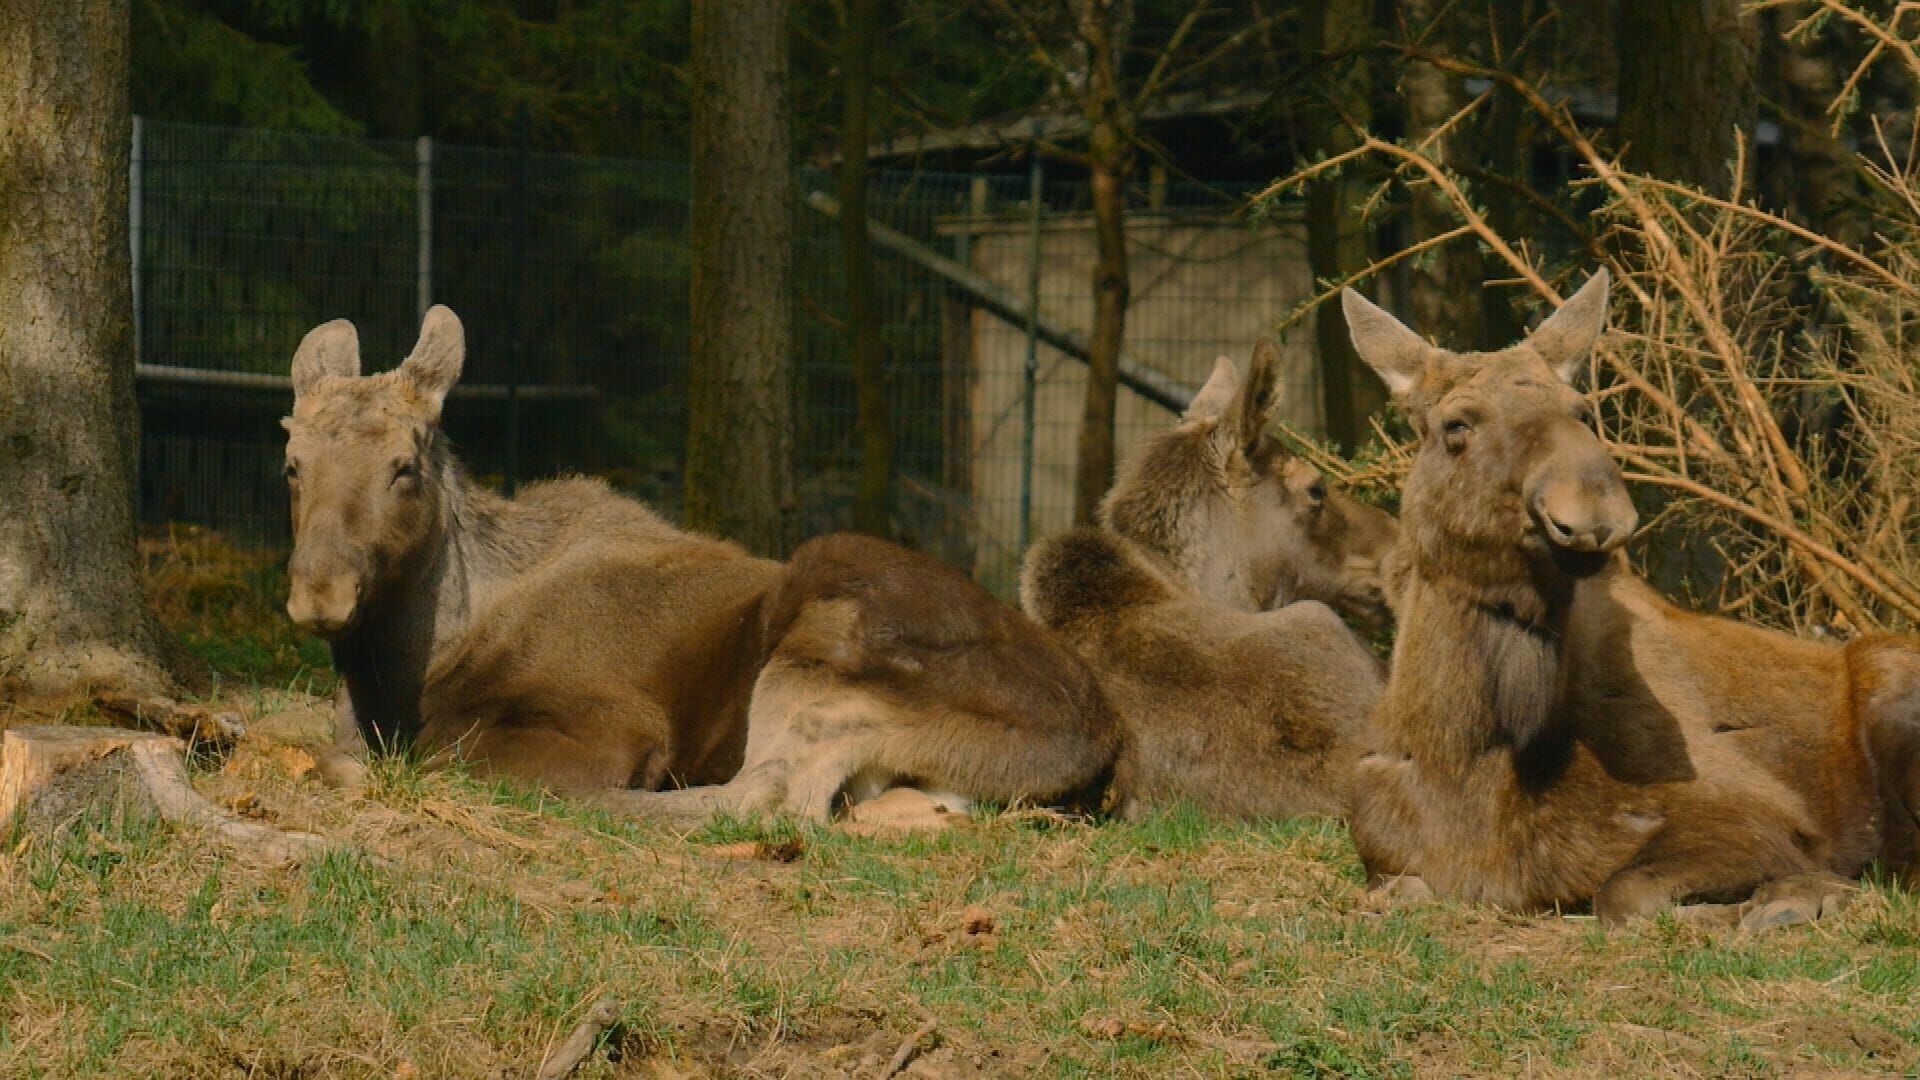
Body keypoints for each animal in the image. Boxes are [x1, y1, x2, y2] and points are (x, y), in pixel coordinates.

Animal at [1336, 270, 1920, 926]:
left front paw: (1793, 898)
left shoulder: (1757, 815)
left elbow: (1626, 894)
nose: (1592, 511)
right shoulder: (1384, 860)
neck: (1470, 762)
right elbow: (1401, 890)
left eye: (1580, 410)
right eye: (1456, 424)